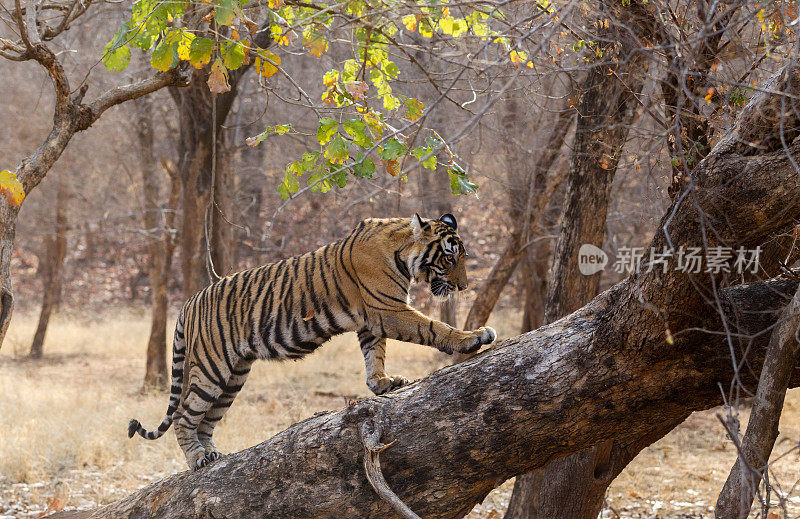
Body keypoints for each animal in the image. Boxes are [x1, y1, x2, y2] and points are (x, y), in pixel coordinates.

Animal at [128, 214, 496, 472]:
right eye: (450, 259)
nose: (463, 287)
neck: (402, 250)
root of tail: (189, 302)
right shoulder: (387, 310)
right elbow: (432, 327)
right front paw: (472, 337)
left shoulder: (371, 320)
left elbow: (374, 354)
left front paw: (382, 383)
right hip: (210, 368)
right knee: (184, 416)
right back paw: (197, 459)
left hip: (233, 377)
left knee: (206, 420)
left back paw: (212, 454)